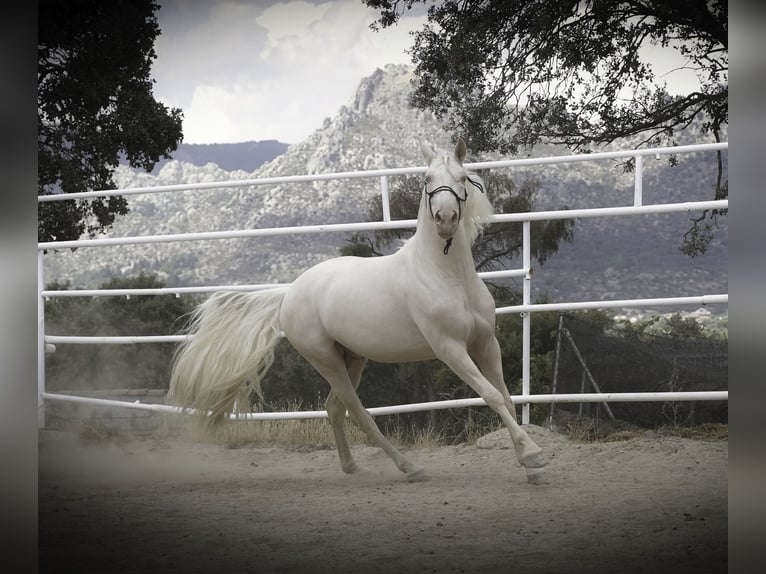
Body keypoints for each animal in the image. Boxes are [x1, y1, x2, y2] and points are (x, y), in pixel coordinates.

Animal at [168, 137, 548, 484]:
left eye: (462, 177)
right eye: (427, 179)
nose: (445, 219)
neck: (446, 275)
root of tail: (290, 293)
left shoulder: (485, 343)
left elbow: (506, 397)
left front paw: (529, 466)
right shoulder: (449, 348)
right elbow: (491, 395)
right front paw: (532, 455)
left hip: (352, 358)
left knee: (334, 408)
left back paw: (351, 467)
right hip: (326, 360)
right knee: (357, 411)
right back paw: (409, 467)